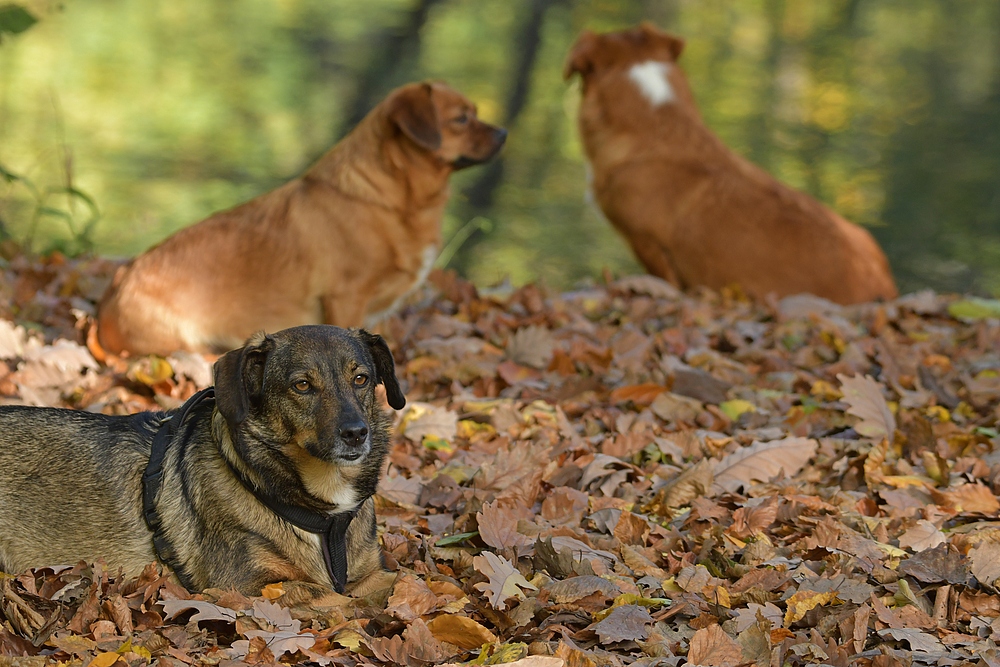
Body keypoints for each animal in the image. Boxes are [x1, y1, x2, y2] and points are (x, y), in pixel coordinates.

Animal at [0, 326, 406, 596]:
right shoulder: (249, 587)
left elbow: (403, 579)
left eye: (361, 379)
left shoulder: (369, 572)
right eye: (302, 386)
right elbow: (338, 601)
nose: (356, 433)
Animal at [98, 81, 508, 358]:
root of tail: (115, 288)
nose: (504, 132)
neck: (396, 200)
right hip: (183, 342)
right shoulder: (345, 298)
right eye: (461, 119)